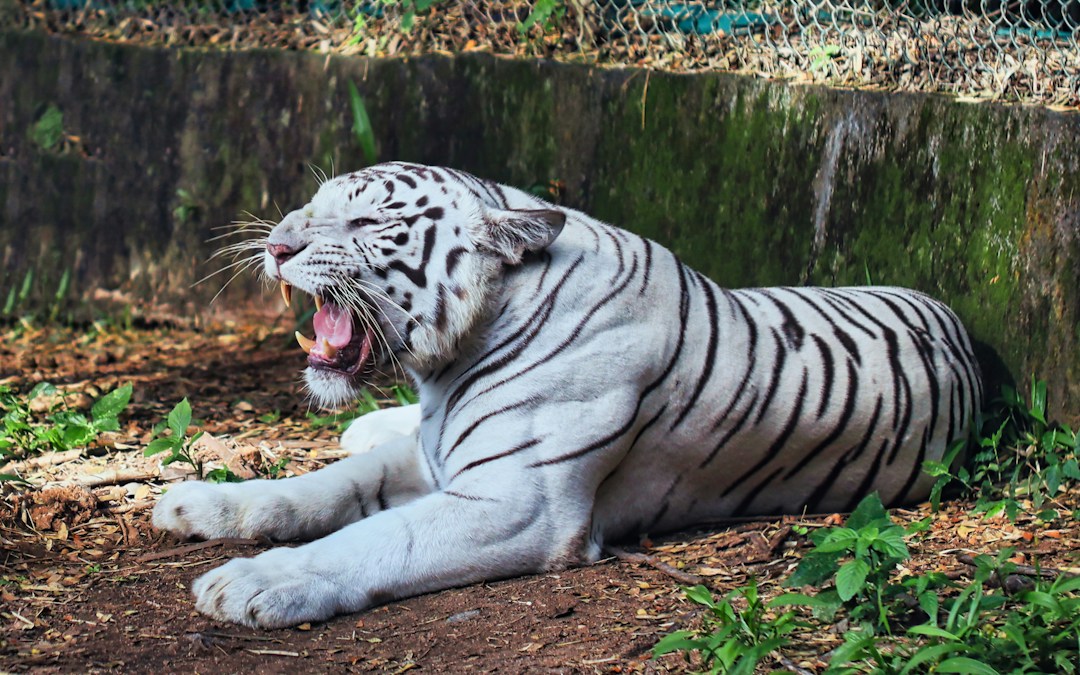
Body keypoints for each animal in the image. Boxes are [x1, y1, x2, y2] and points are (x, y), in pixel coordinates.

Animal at [152, 161, 982, 629]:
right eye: (311, 203)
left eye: (366, 218)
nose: (275, 245)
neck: (453, 358)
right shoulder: (430, 454)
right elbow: (318, 488)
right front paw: (200, 504)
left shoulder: (517, 502)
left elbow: (374, 537)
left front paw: (255, 580)